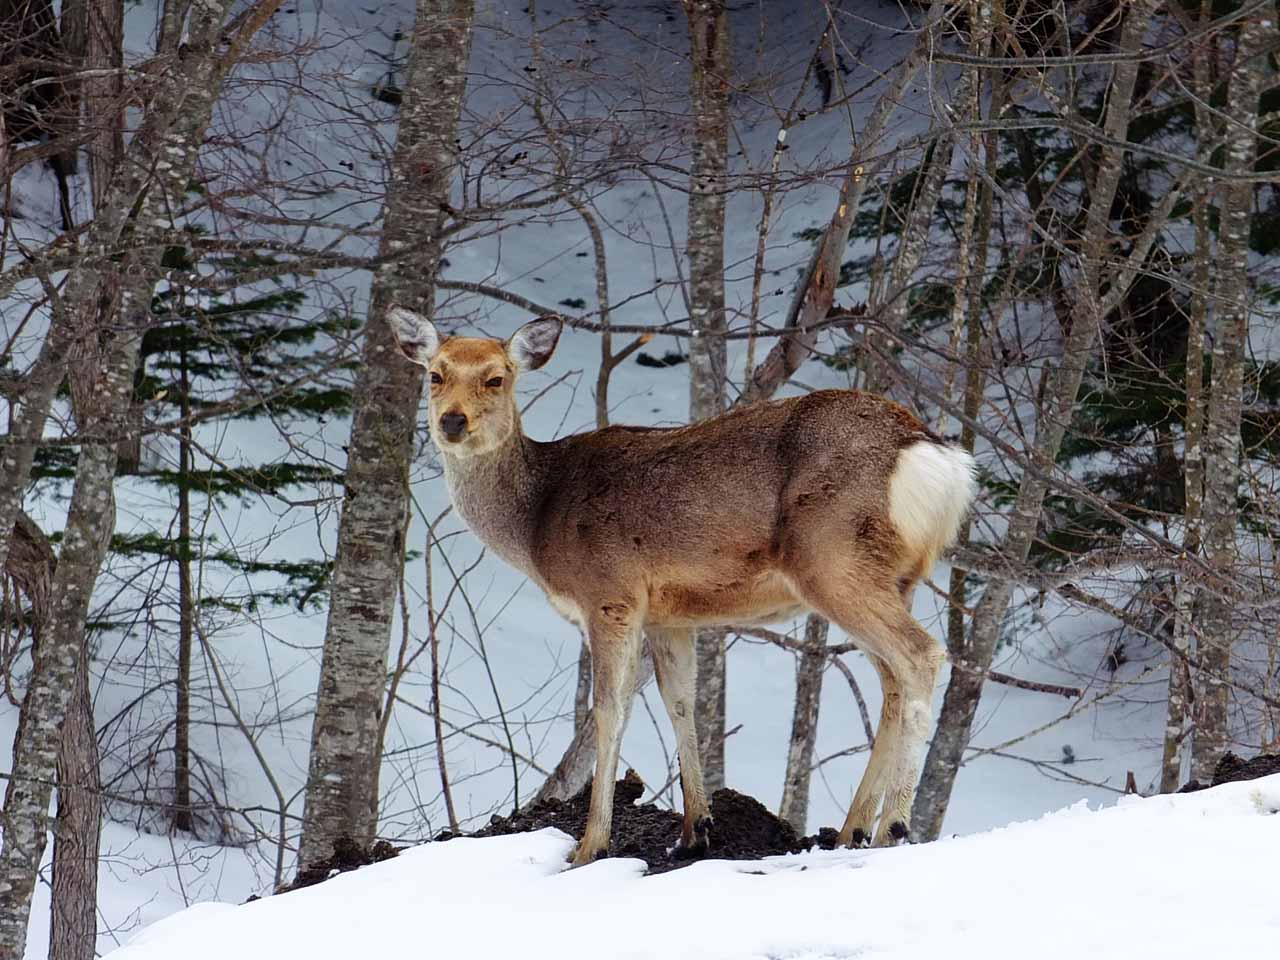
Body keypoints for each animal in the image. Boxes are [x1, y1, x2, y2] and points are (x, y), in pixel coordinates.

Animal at [384, 309, 972, 870]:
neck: (538, 520)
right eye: (435, 374)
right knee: (892, 683)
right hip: (893, 577)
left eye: (496, 378)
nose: (452, 420)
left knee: (920, 655)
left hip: (833, 560)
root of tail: (939, 460)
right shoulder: (669, 615)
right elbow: (680, 702)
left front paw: (590, 844)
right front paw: (695, 831)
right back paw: (851, 830)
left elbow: (608, 710)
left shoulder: (611, 592)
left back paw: (891, 827)